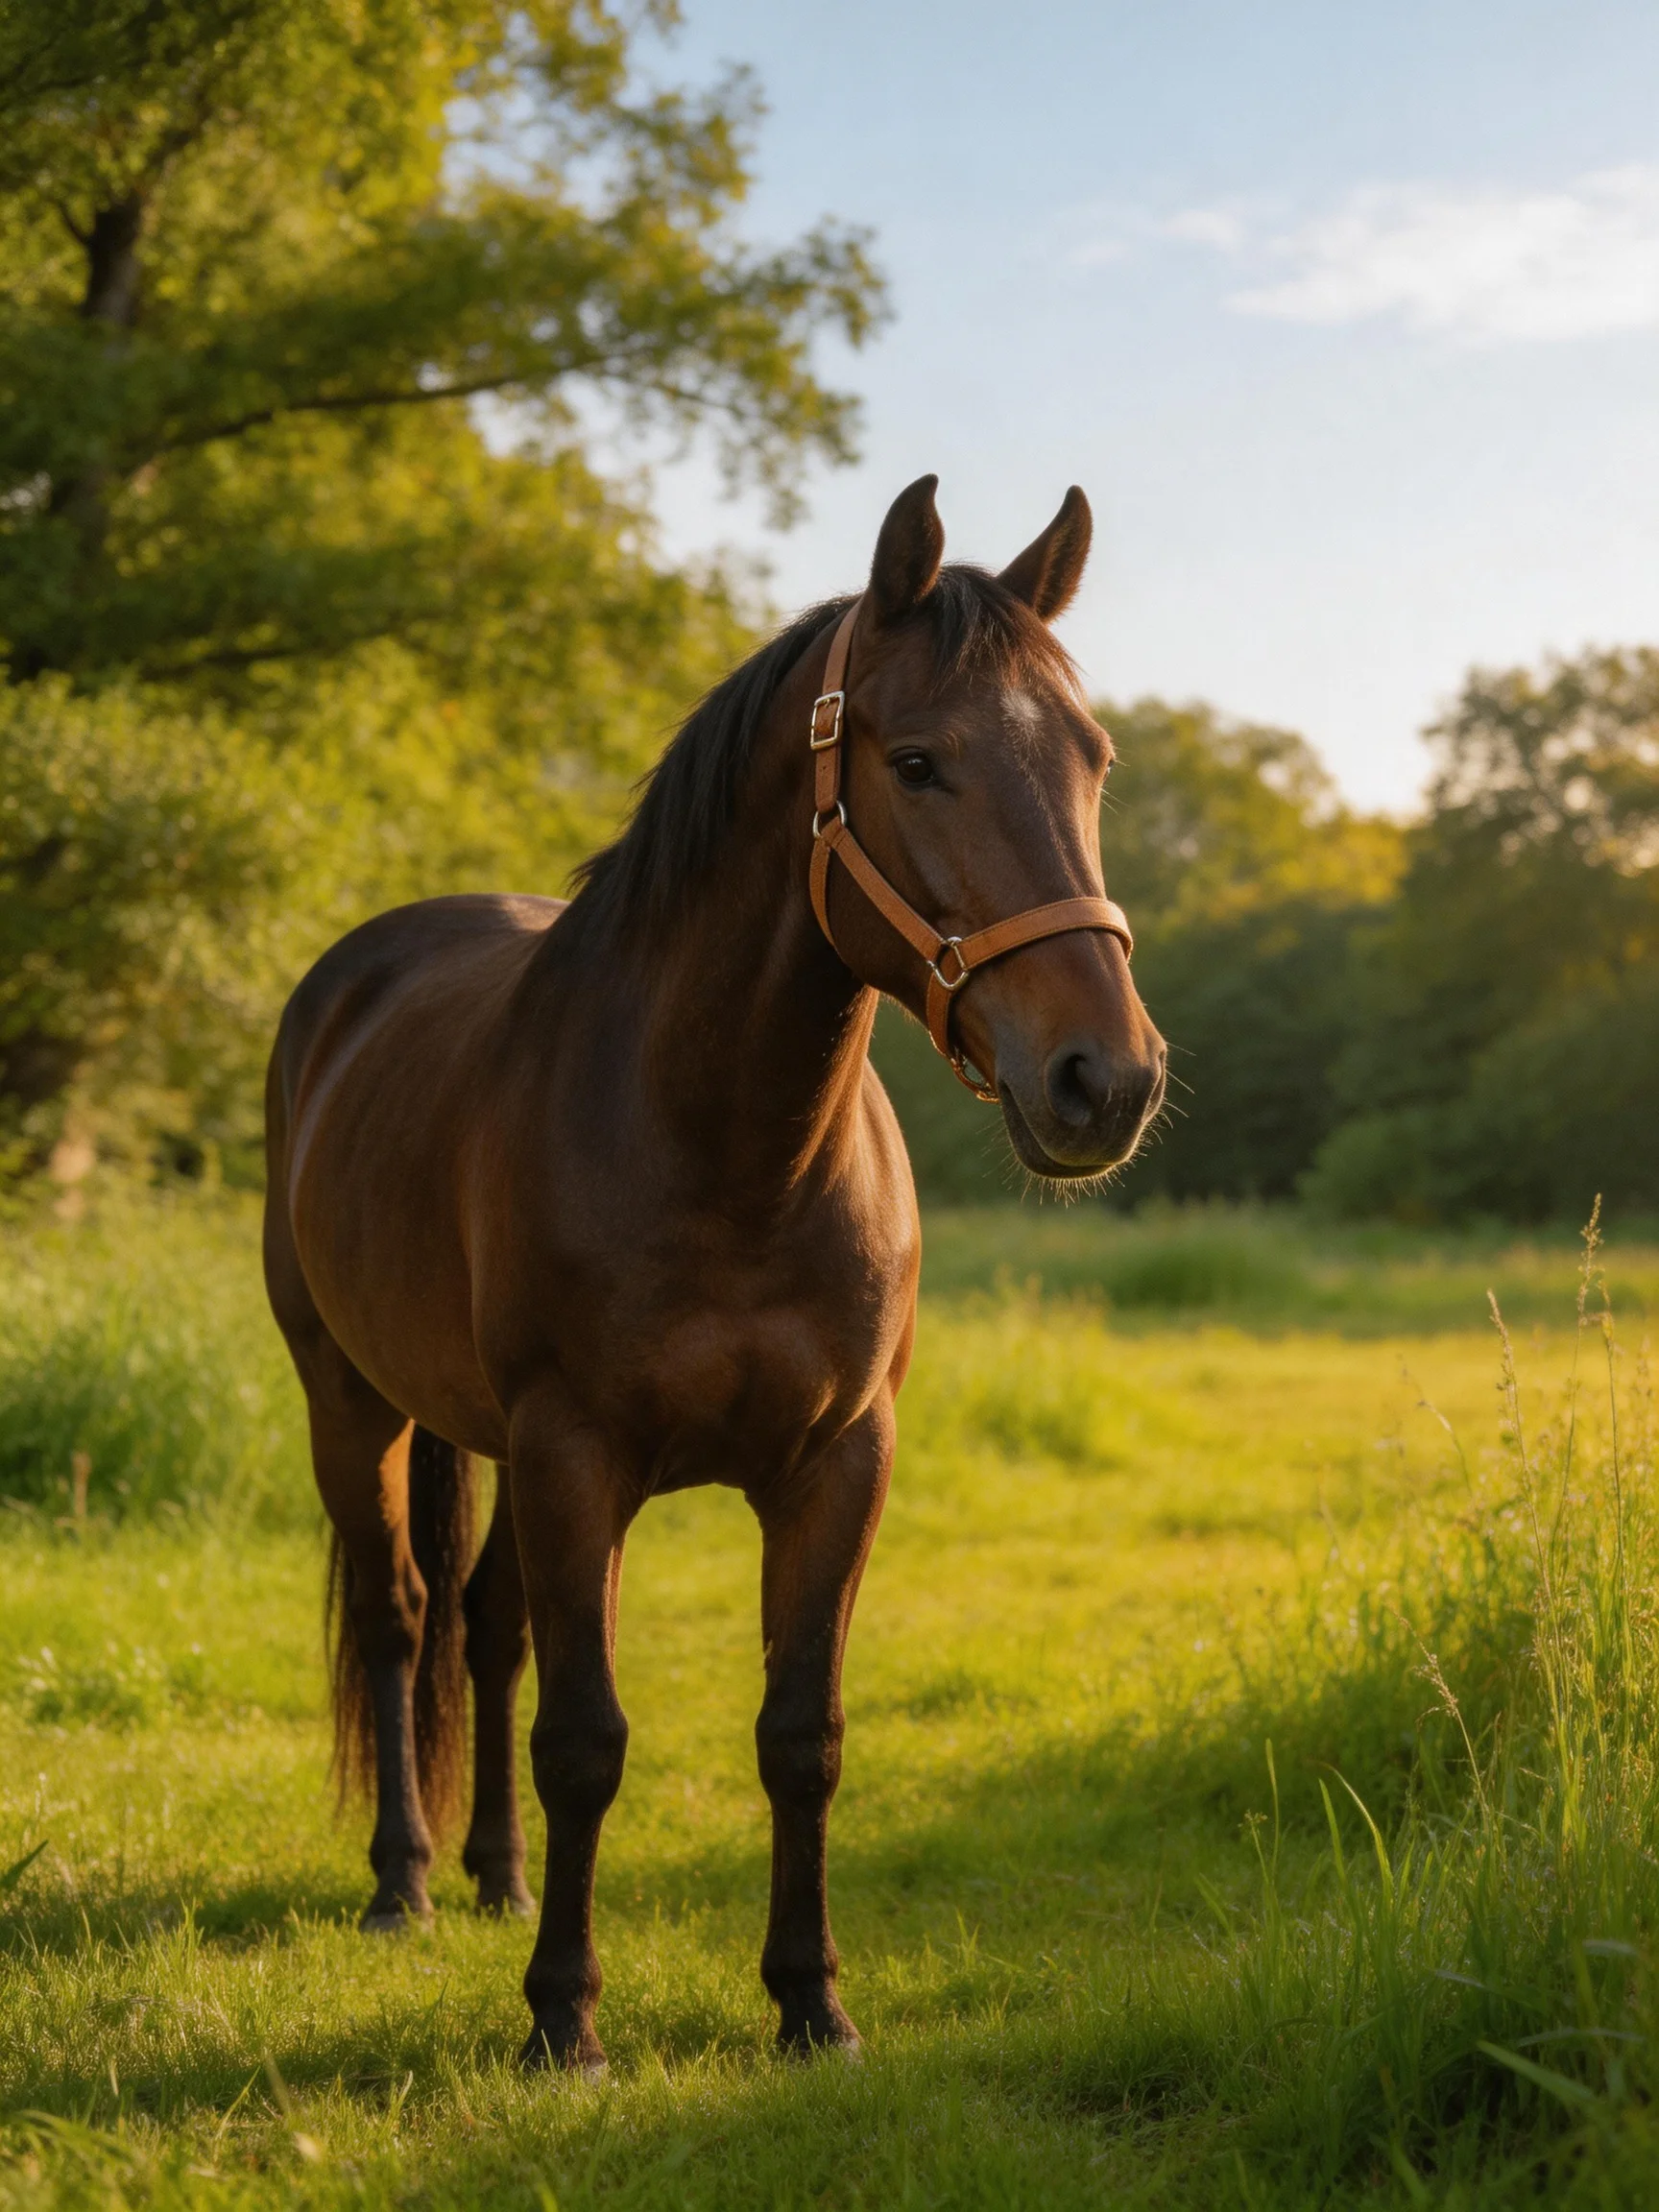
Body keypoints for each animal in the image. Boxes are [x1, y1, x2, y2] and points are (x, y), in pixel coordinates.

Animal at [262, 475, 1166, 2072]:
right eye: (916, 761)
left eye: (1091, 759)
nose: (1102, 1081)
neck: (726, 1148)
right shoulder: (576, 1455)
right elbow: (587, 1741)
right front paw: (563, 2020)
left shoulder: (837, 1465)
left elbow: (799, 1738)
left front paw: (811, 2002)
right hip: (349, 1403)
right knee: (400, 1618)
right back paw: (405, 1885)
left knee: (485, 1629)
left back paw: (493, 1878)